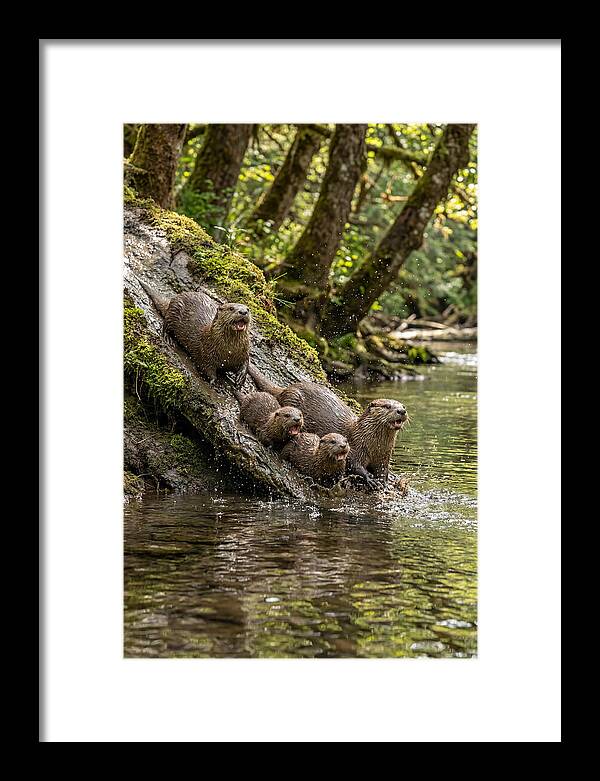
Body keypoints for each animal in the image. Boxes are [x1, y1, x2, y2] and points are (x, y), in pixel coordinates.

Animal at [248, 365, 408, 489]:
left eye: (403, 406)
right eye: (388, 406)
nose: (402, 411)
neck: (374, 445)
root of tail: (286, 389)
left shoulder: (384, 457)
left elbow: (383, 470)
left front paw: (384, 481)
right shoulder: (356, 448)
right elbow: (354, 465)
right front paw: (370, 479)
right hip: (292, 400)